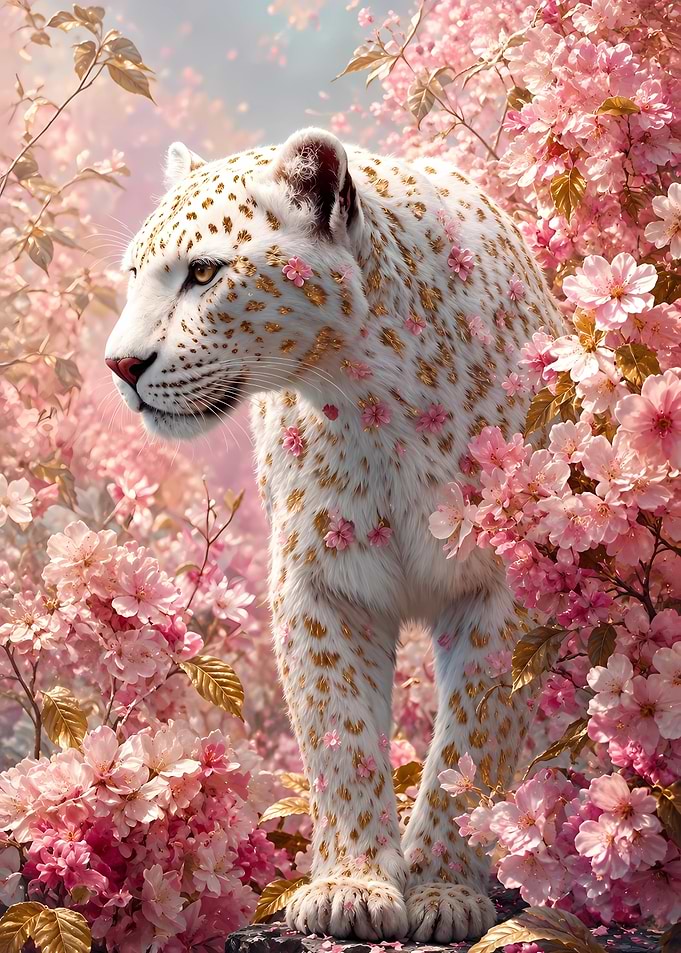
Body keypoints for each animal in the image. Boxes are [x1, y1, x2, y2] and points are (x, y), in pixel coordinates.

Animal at [105, 128, 563, 943]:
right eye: (133, 274)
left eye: (202, 272)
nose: (121, 365)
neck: (371, 402)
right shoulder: (321, 582)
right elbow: (338, 732)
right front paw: (352, 888)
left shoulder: (504, 585)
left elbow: (471, 741)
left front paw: (443, 889)